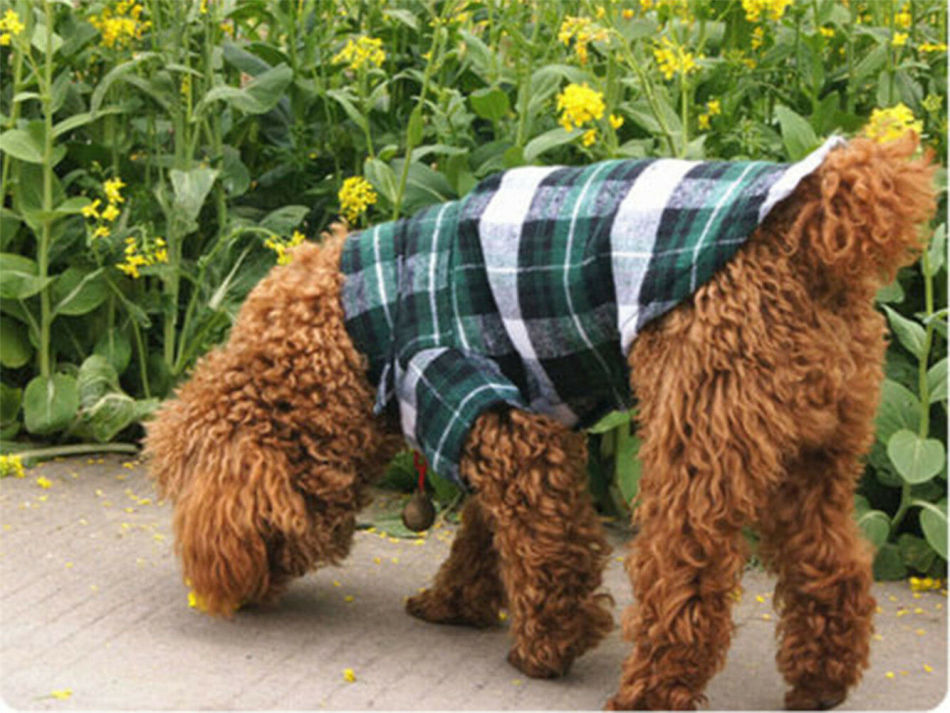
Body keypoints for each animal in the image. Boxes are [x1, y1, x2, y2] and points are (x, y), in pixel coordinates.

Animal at [147, 136, 936, 708]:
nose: (227, 597)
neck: (356, 321)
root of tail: (811, 229)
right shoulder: (509, 409)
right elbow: (486, 533)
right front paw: (455, 602)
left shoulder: (481, 405)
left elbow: (545, 546)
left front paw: (547, 648)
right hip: (815, 451)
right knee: (832, 565)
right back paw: (819, 681)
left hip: (700, 439)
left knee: (688, 577)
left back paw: (650, 690)